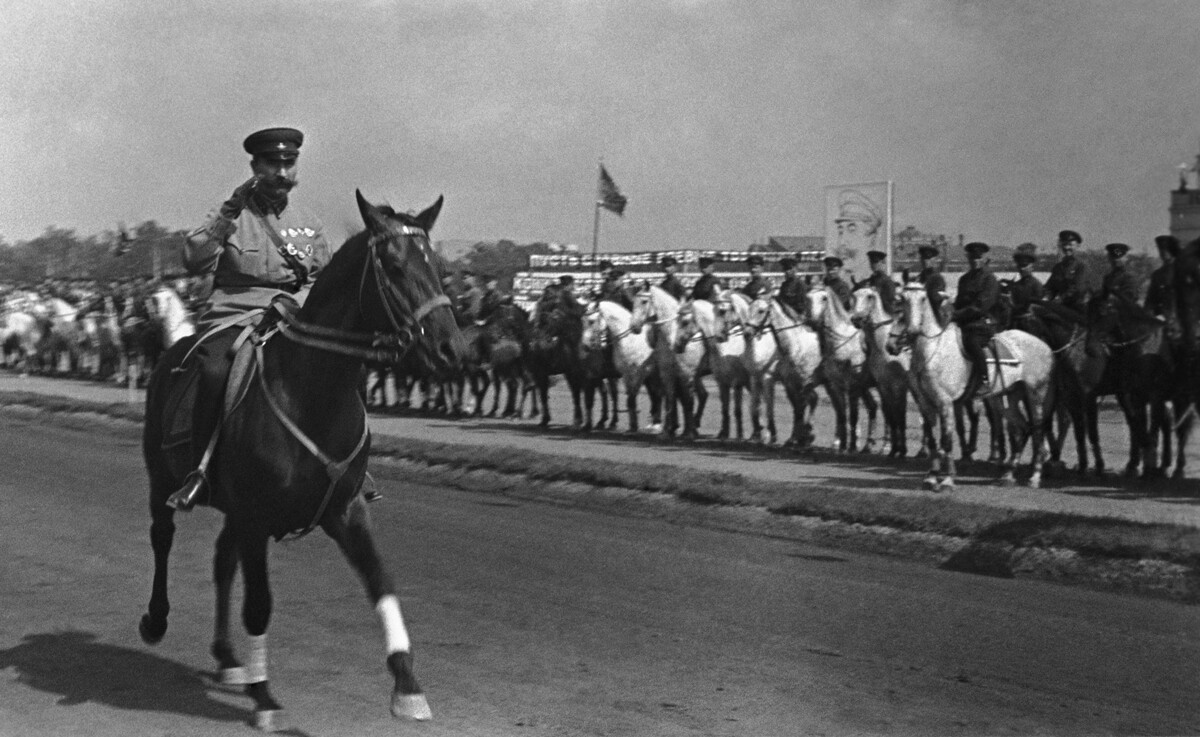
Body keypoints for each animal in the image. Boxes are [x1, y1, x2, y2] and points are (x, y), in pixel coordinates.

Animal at [138, 192, 460, 729]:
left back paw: (228, 657)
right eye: (394, 266)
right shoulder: (254, 517)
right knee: (162, 537)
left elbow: (381, 582)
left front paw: (407, 684)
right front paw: (264, 695)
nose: (450, 347)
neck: (314, 391)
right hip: (162, 478)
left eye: (436, 266)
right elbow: (259, 604)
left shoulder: (347, 510)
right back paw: (158, 620)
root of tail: (174, 346)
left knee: (221, 560)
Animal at [806, 285, 883, 453]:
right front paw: (842, 445)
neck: (840, 344)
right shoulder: (836, 386)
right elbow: (842, 415)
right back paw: (868, 445)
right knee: (873, 407)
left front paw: (852, 446)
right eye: (807, 298)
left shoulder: (852, 386)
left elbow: (853, 416)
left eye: (824, 298)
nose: (812, 322)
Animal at [897, 283, 1056, 492]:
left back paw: (1035, 477)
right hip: (1006, 398)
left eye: (923, 299)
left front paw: (947, 480)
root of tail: (1045, 346)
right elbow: (933, 441)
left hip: (1036, 395)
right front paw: (931, 477)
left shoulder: (945, 403)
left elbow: (946, 441)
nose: (912, 331)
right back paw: (1008, 475)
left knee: (1037, 430)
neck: (933, 351)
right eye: (903, 299)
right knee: (1022, 429)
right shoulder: (926, 404)